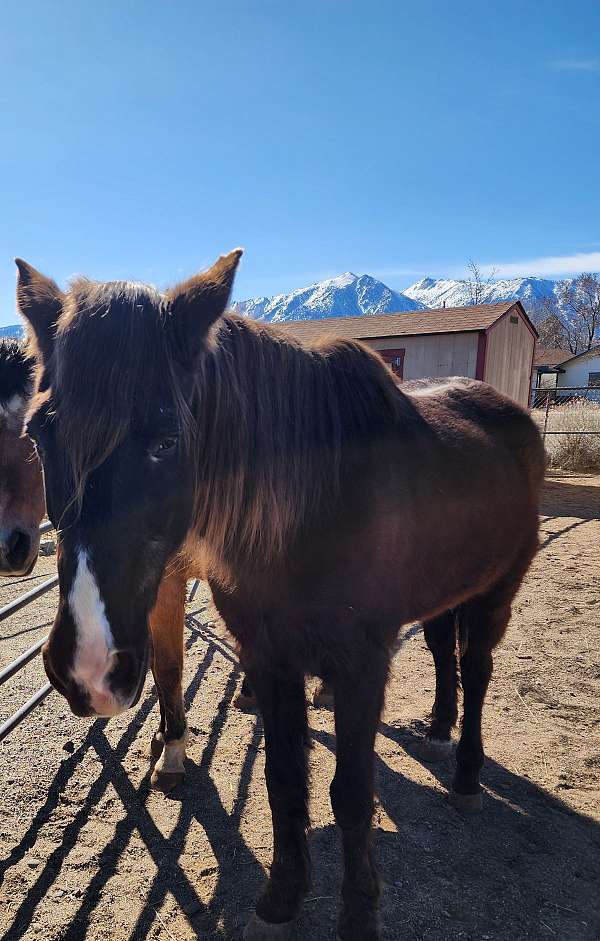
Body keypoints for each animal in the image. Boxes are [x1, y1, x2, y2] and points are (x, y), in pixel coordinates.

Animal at [17, 252, 544, 940]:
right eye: (38, 433)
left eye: (166, 439)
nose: (89, 668)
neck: (316, 507)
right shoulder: (269, 658)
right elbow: (283, 778)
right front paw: (283, 896)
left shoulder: (362, 663)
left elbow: (351, 792)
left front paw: (358, 913)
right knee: (440, 650)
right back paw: (437, 727)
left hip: (497, 590)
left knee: (476, 667)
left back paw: (467, 772)